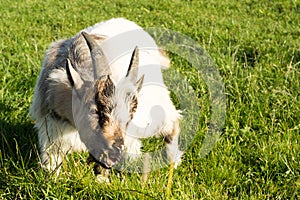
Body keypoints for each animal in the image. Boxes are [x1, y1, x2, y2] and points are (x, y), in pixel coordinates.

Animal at [29, 17, 183, 175]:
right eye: (95, 110)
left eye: (128, 116)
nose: (115, 153)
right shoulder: (51, 131)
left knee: (172, 124)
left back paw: (173, 161)